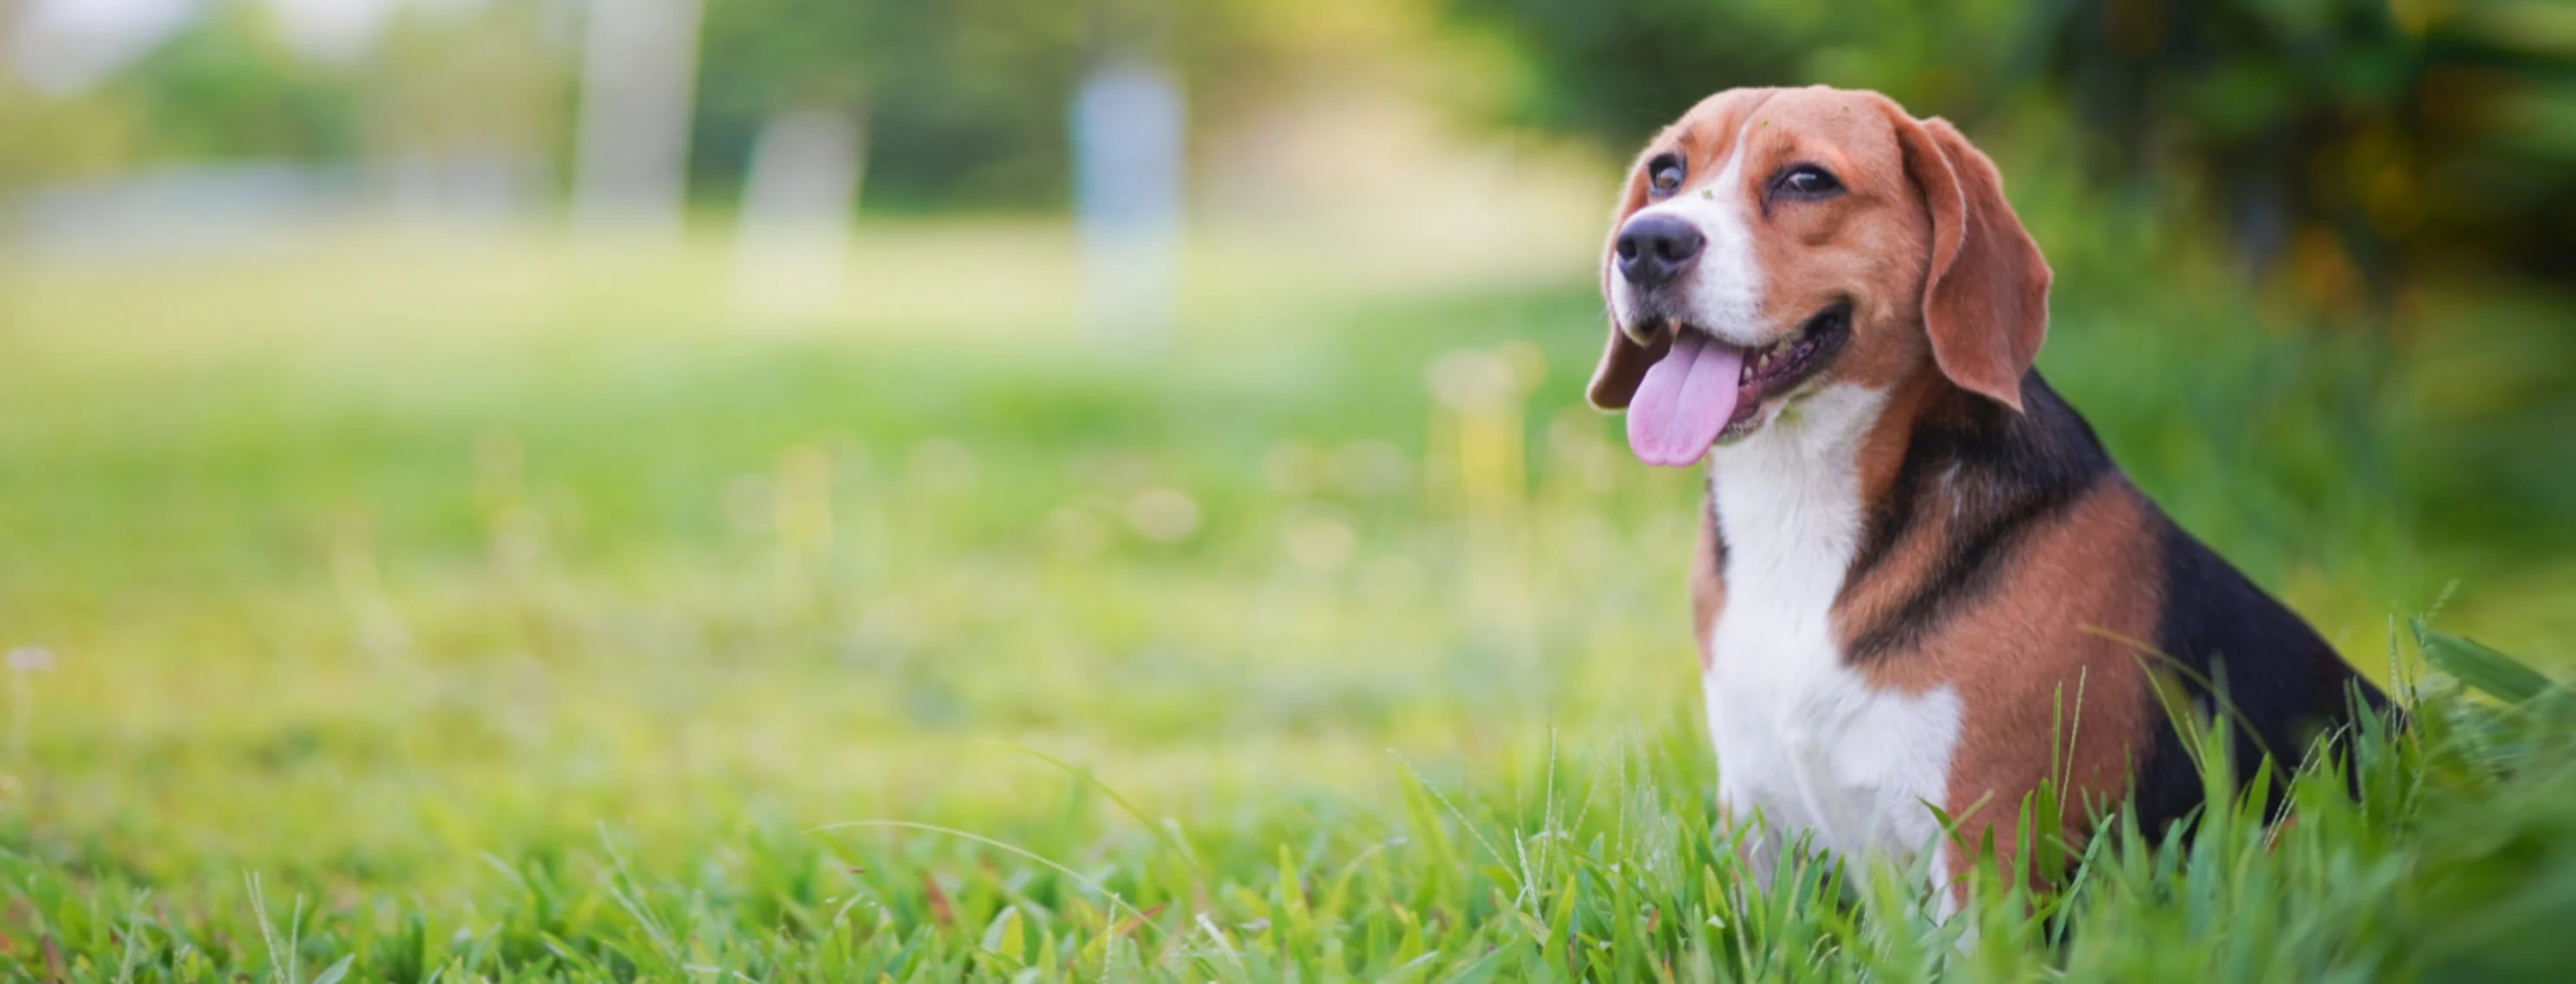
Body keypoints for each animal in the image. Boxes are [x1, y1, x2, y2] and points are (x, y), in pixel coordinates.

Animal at [1586, 88, 2390, 902]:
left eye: (1807, 180)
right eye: (1665, 174)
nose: (1646, 243)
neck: (1797, 506)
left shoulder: (1985, 842)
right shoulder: (1757, 830)